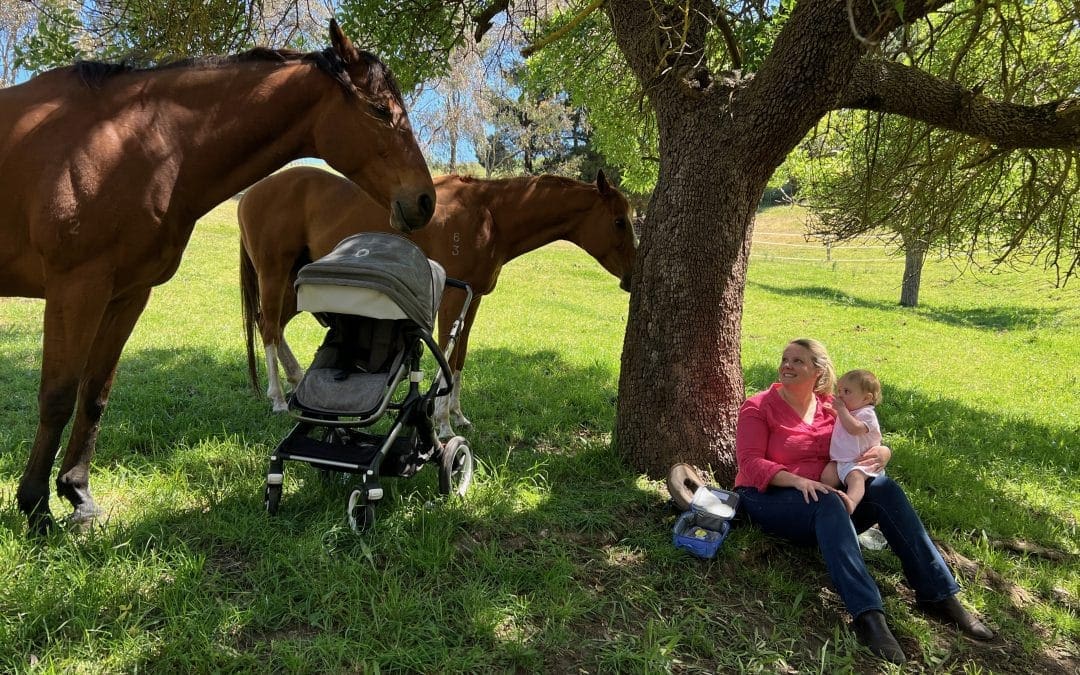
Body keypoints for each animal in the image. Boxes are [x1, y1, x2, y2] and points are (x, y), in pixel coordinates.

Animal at [3, 22, 438, 537]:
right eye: (380, 110)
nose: (426, 200)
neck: (129, 143)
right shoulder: (76, 289)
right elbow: (57, 396)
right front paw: (35, 506)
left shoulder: (126, 295)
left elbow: (94, 395)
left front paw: (78, 494)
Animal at [240, 166, 635, 434]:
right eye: (619, 221)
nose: (632, 278)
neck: (489, 216)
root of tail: (252, 193)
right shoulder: (452, 297)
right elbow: (446, 353)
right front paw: (443, 422)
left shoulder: (473, 299)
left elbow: (459, 357)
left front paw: (458, 415)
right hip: (275, 273)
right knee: (269, 326)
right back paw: (278, 399)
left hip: (298, 280)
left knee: (271, 324)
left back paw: (296, 380)